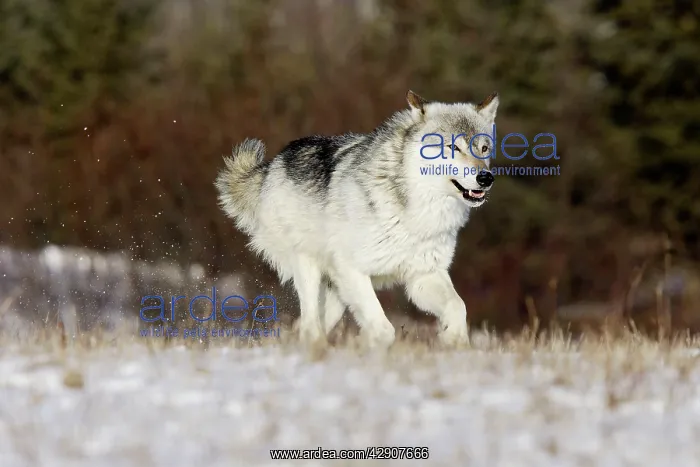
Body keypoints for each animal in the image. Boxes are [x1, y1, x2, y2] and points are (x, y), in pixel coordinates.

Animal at [215, 90, 498, 348]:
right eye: (453, 147)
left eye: (483, 148)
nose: (486, 178)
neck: (417, 212)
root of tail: (272, 164)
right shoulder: (353, 269)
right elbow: (384, 329)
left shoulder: (424, 275)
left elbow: (458, 307)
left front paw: (453, 340)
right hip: (311, 269)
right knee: (309, 325)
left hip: (337, 294)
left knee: (301, 326)